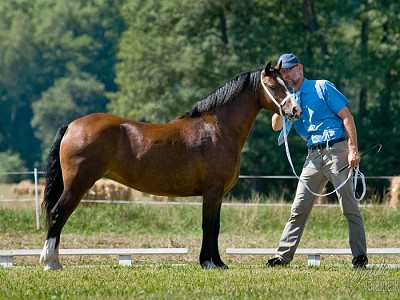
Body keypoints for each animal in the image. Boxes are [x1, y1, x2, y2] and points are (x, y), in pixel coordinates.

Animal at [39, 61, 300, 270]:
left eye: (286, 83)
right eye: (273, 86)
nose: (295, 110)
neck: (217, 128)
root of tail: (71, 126)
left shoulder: (218, 195)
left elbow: (215, 226)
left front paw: (218, 262)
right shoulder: (212, 191)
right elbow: (208, 226)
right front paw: (208, 262)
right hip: (78, 184)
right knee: (58, 214)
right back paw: (51, 262)